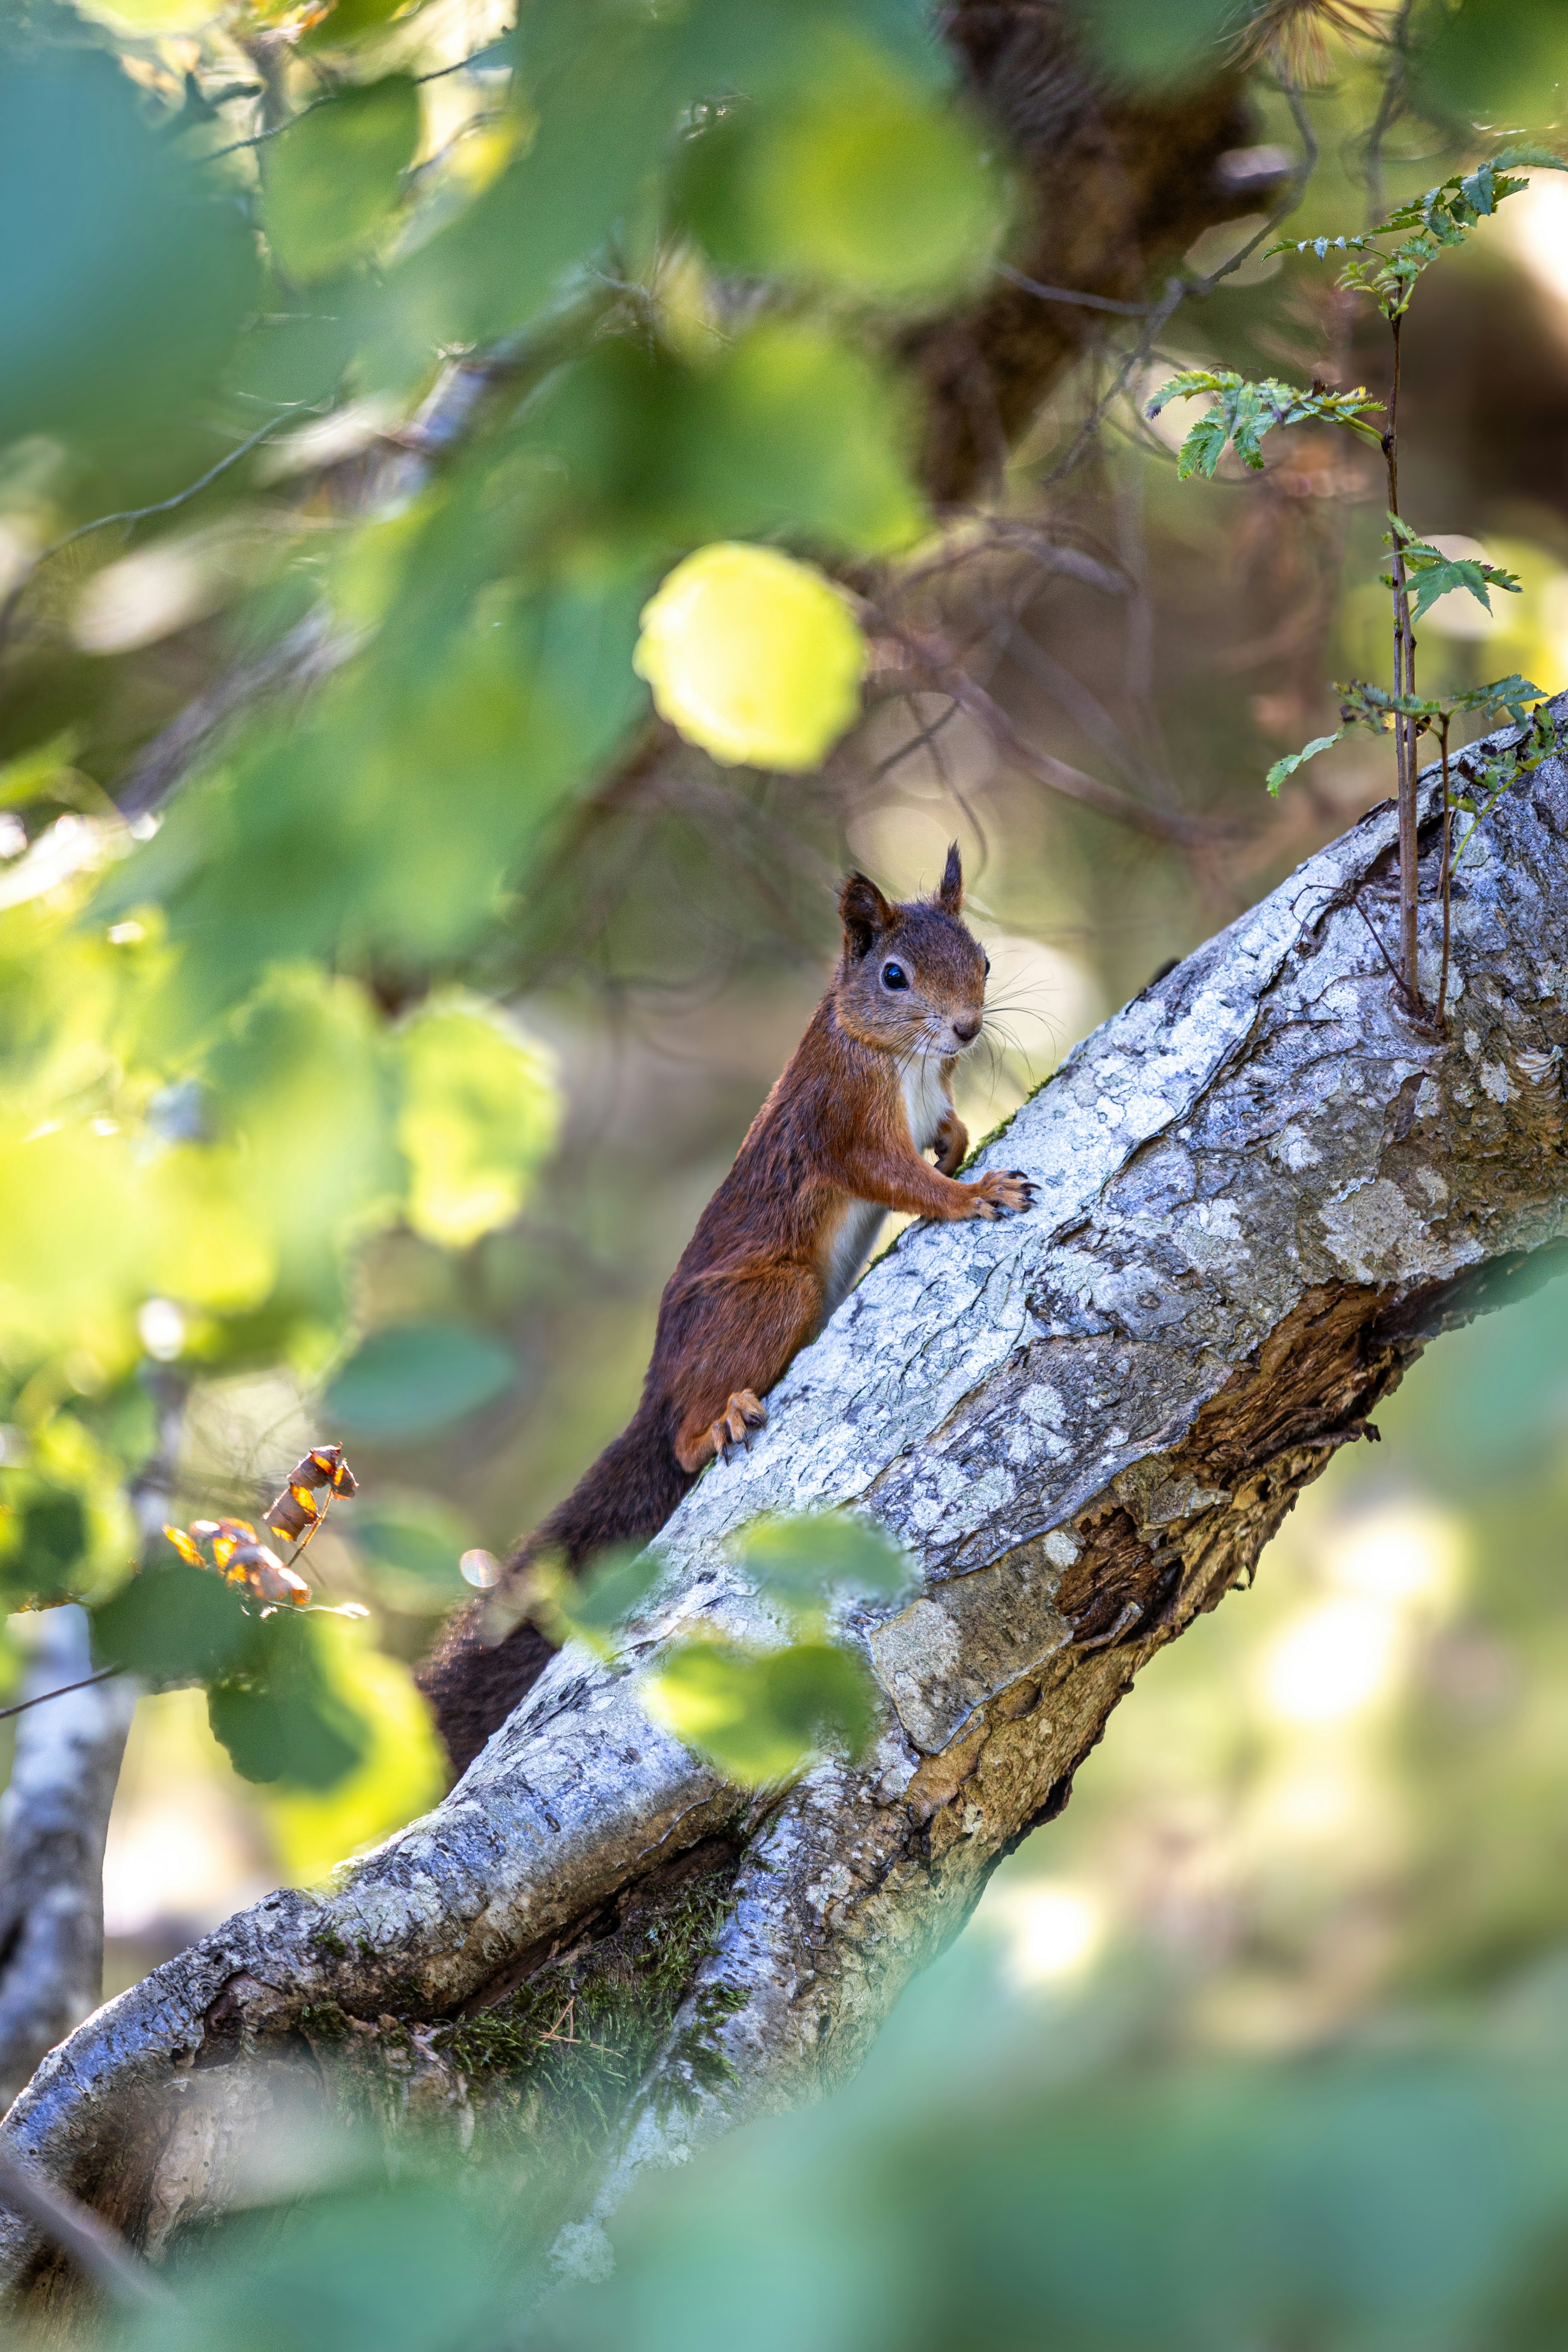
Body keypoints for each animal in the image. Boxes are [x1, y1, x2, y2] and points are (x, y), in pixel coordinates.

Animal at [418, 845, 1037, 1772]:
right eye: (893, 975)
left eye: (985, 960)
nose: (966, 1029)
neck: (899, 1056)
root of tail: (659, 1386)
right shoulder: (839, 1116)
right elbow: (893, 1178)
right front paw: (971, 1193)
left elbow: (944, 1131)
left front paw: (959, 1142)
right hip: (774, 1295)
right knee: (684, 1433)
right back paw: (716, 1421)